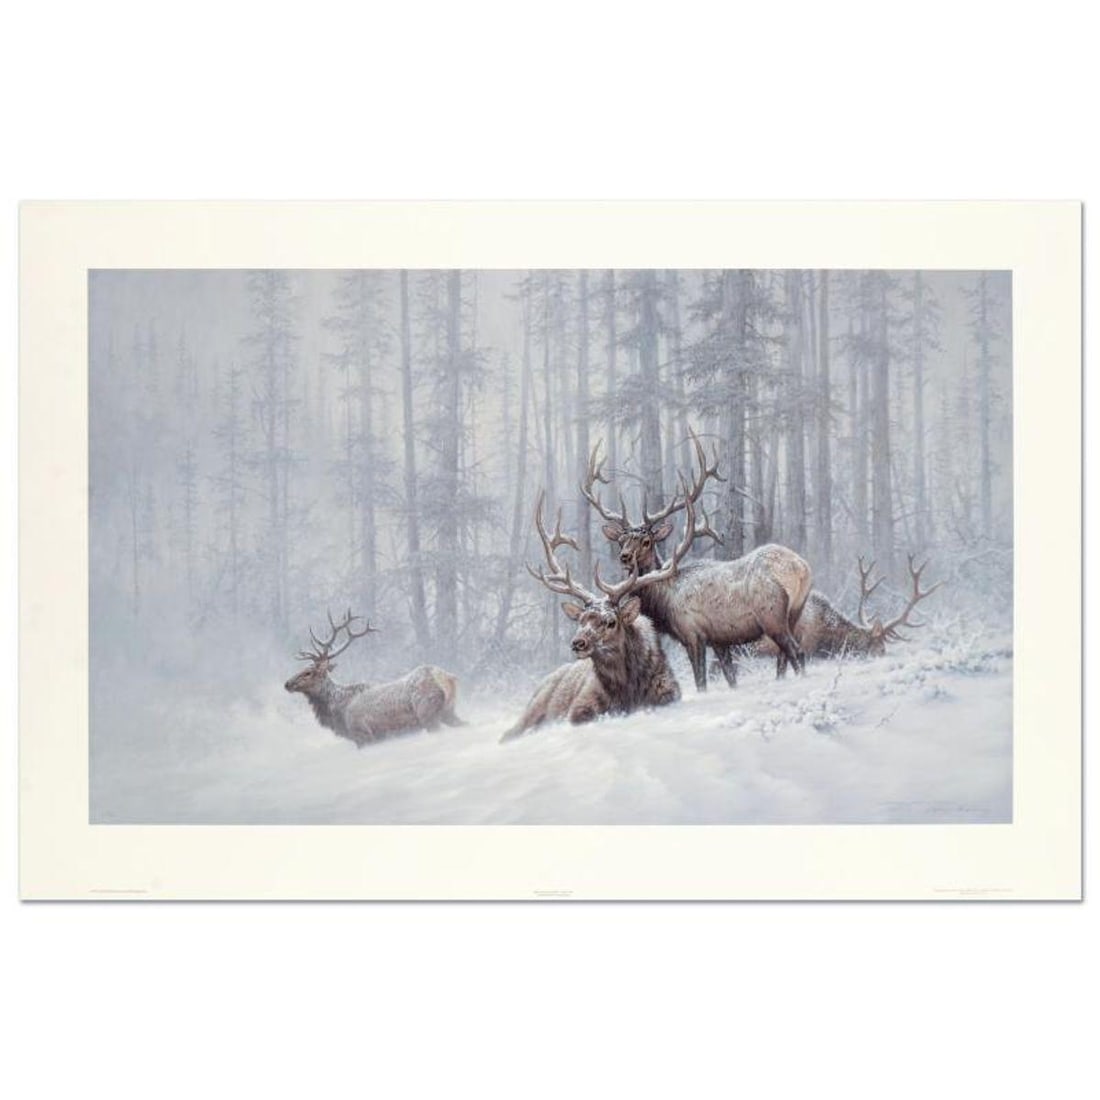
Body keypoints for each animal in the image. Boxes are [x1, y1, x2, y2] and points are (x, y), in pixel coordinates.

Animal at [284, 609, 463, 747]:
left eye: (308, 672)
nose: (287, 683)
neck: (340, 711)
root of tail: (446, 677)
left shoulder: (363, 734)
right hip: (449, 711)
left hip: (427, 714)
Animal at [500, 493, 686, 742]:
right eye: (580, 620)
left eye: (611, 622)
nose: (577, 643)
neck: (628, 692)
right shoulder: (578, 709)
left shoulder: (669, 694)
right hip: (532, 710)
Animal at [582, 431, 812, 691]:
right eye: (621, 540)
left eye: (646, 541)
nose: (624, 556)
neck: (664, 599)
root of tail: (800, 569)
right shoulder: (718, 640)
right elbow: (730, 677)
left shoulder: (692, 633)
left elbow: (700, 680)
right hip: (795, 612)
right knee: (785, 658)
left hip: (772, 615)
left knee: (797, 652)